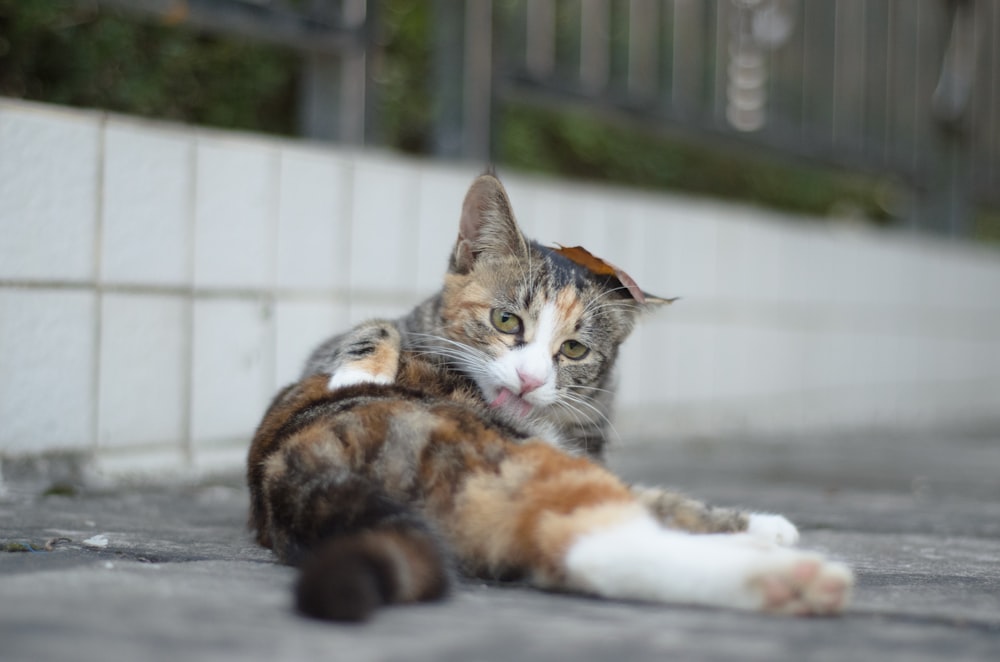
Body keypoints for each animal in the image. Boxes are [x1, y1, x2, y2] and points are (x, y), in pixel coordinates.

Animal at [248, 172, 852, 624]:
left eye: (575, 349)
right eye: (505, 320)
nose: (531, 378)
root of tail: (295, 468)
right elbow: (371, 328)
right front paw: (359, 365)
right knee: (593, 541)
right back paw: (788, 578)